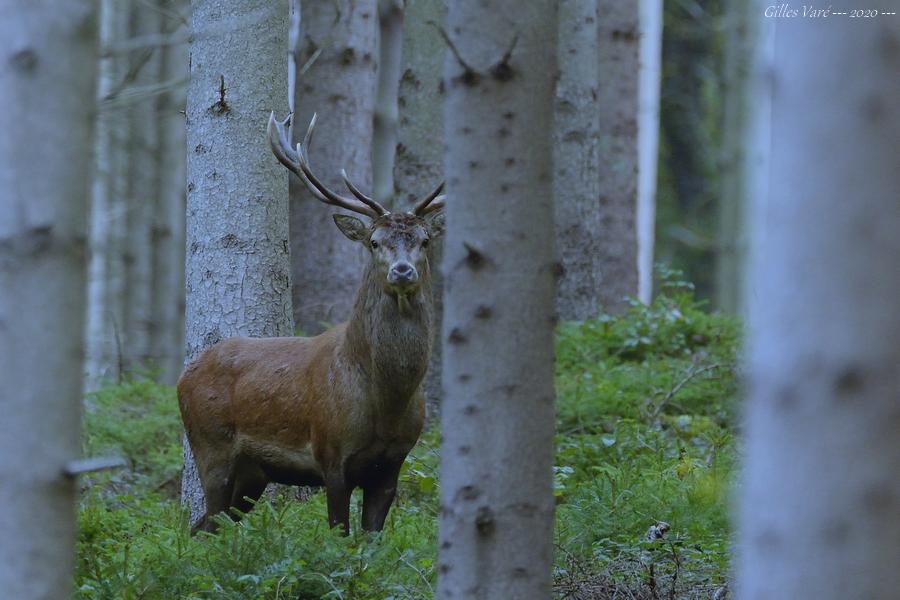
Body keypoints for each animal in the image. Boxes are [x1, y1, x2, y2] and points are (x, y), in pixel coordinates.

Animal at [177, 112, 445, 534]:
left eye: (424, 240)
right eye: (374, 241)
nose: (402, 271)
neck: (386, 402)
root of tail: (184, 375)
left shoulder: (393, 464)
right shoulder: (331, 453)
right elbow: (340, 534)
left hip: (253, 474)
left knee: (208, 525)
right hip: (210, 444)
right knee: (207, 523)